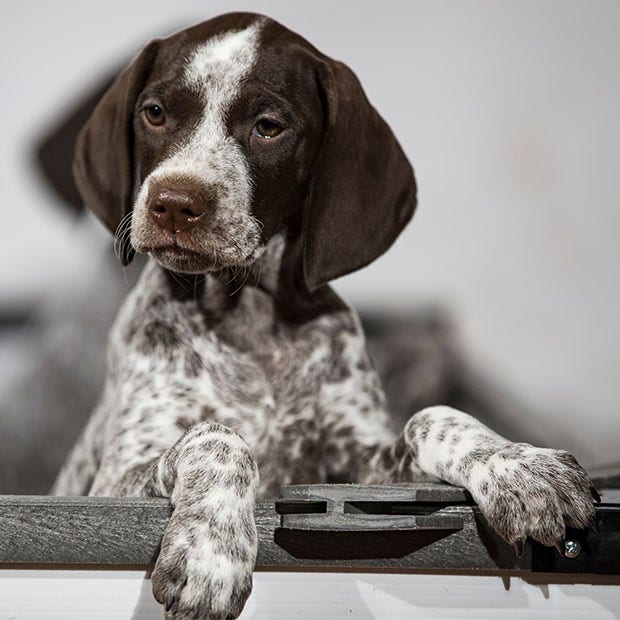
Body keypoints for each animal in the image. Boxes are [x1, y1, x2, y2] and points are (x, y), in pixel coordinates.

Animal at [52, 13, 596, 620]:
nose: (172, 204)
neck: (251, 318)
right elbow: (217, 437)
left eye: (267, 127)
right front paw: (211, 553)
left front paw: (519, 466)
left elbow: (433, 416)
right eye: (154, 113)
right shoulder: (113, 482)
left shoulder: (362, 466)